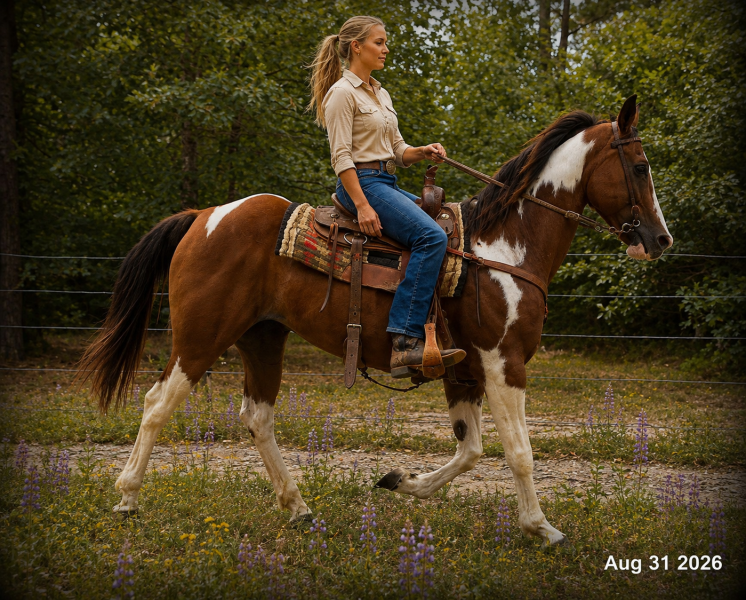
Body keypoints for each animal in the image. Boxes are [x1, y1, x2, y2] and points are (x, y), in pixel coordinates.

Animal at [78, 95, 672, 546]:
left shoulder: (463, 372)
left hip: (262, 338)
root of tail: (204, 217)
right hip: (201, 337)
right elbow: (519, 453)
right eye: (640, 166)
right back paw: (127, 498)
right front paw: (542, 528)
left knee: (257, 417)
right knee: (157, 404)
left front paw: (400, 482)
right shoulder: (502, 362)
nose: (660, 239)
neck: (505, 247)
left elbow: (471, 450)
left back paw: (299, 507)